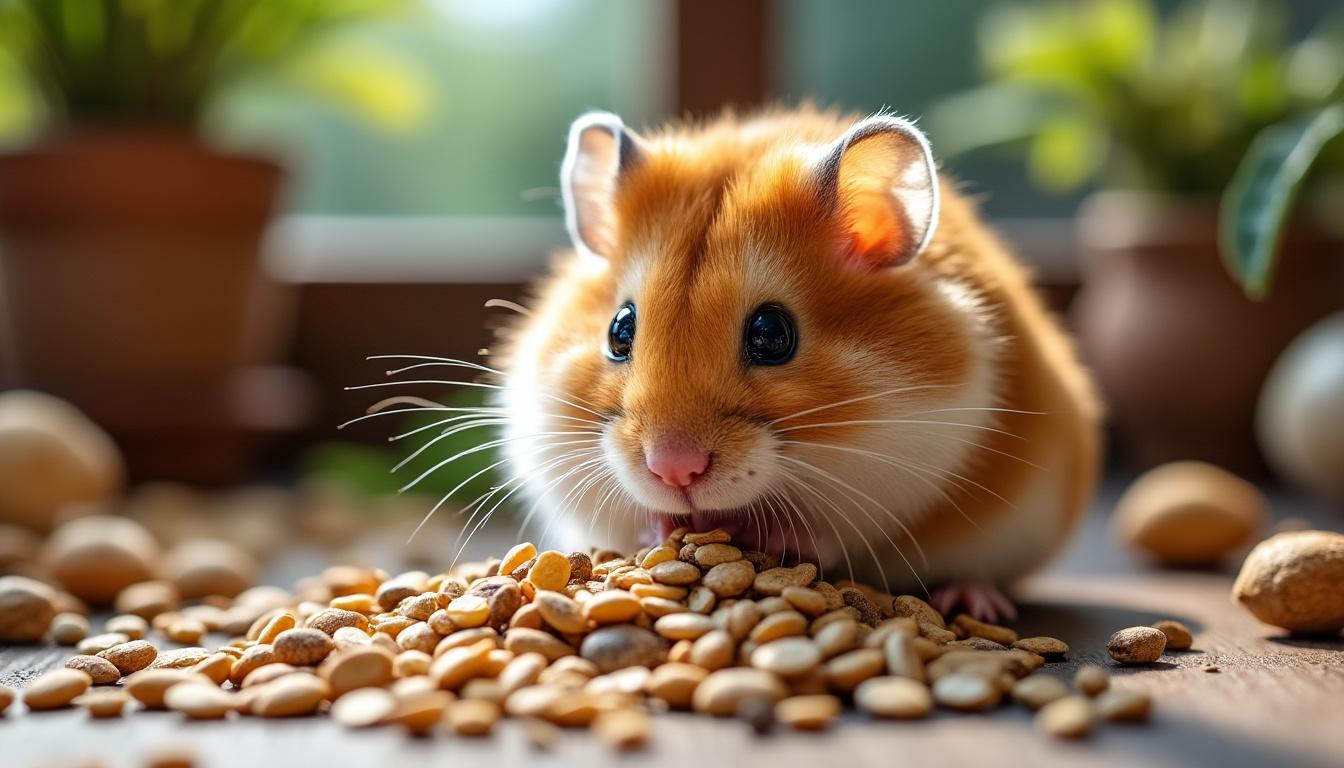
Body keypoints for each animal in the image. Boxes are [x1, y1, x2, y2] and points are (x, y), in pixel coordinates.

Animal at [492, 106, 1101, 620]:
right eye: (619, 330)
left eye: (772, 334)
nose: (673, 470)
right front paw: (662, 529)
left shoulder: (906, 466)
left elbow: (828, 533)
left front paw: (766, 535)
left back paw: (977, 604)